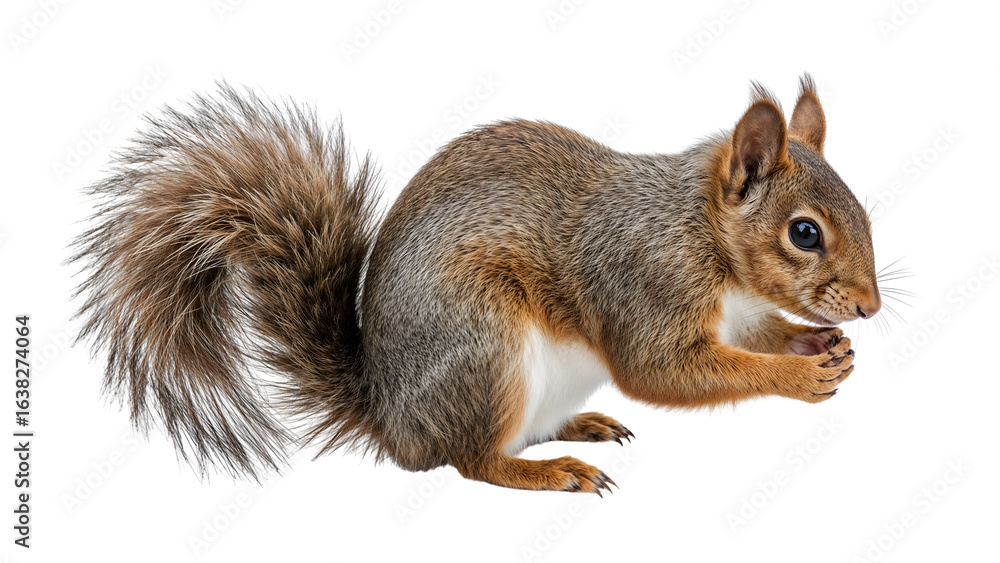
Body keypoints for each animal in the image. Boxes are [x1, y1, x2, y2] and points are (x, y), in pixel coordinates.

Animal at [73, 75, 880, 495]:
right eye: (804, 233)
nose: (870, 308)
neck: (704, 237)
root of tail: (392, 418)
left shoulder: (738, 312)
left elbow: (754, 335)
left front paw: (817, 343)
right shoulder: (644, 281)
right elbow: (661, 370)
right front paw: (798, 376)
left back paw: (578, 428)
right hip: (484, 342)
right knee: (473, 460)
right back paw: (552, 470)